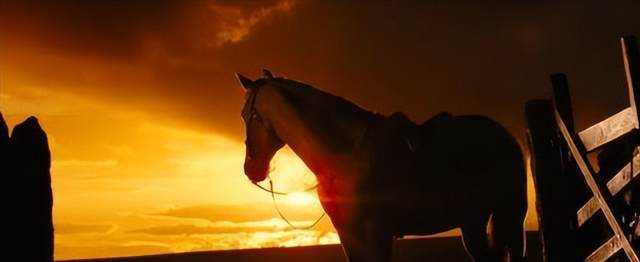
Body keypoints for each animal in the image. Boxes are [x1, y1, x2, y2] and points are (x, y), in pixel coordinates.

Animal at [238, 70, 528, 260]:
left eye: (246, 116)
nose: (251, 169)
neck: (346, 157)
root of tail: (505, 135)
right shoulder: (348, 235)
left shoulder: (376, 234)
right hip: (472, 222)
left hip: (512, 215)